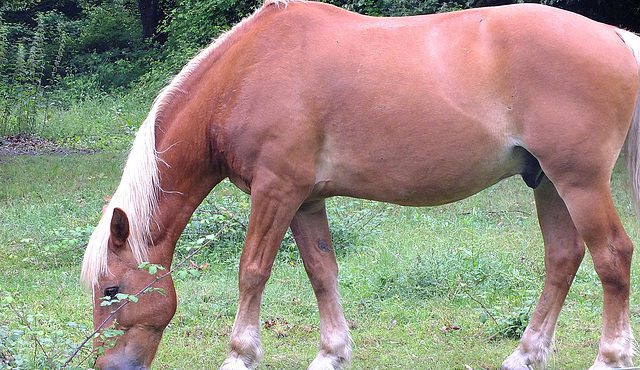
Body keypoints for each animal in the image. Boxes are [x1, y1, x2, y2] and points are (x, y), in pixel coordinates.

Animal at [81, 1, 640, 368]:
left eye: (111, 291)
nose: (110, 367)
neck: (246, 73)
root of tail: (615, 36)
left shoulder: (275, 190)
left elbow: (252, 272)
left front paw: (240, 356)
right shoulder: (304, 200)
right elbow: (321, 272)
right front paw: (331, 353)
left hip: (580, 182)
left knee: (612, 257)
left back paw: (609, 357)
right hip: (547, 182)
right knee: (563, 259)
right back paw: (524, 354)